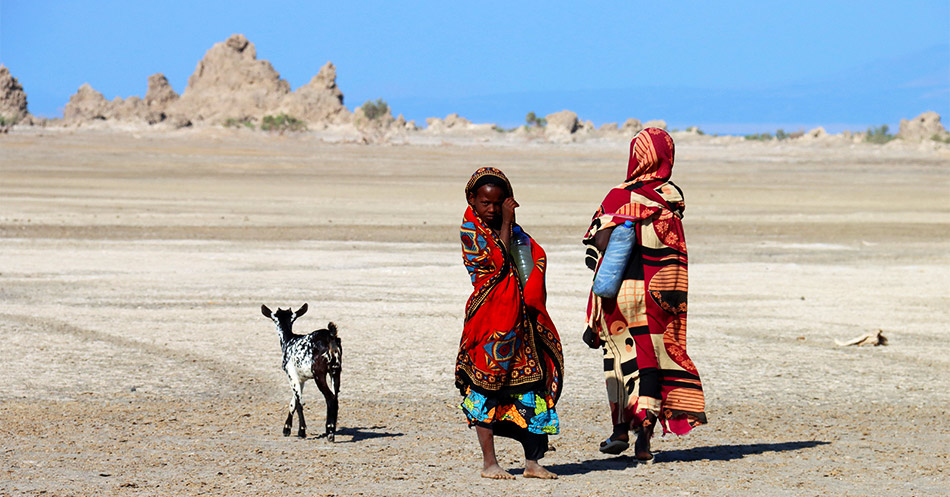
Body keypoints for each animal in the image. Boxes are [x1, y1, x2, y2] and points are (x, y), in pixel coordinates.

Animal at [262, 302, 344, 438]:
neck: (289, 340)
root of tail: (331, 337)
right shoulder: (301, 379)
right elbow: (293, 402)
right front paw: (286, 428)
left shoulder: (291, 375)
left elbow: (300, 402)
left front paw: (301, 431)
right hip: (336, 371)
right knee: (336, 397)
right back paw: (330, 429)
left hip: (319, 374)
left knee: (330, 398)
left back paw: (330, 433)